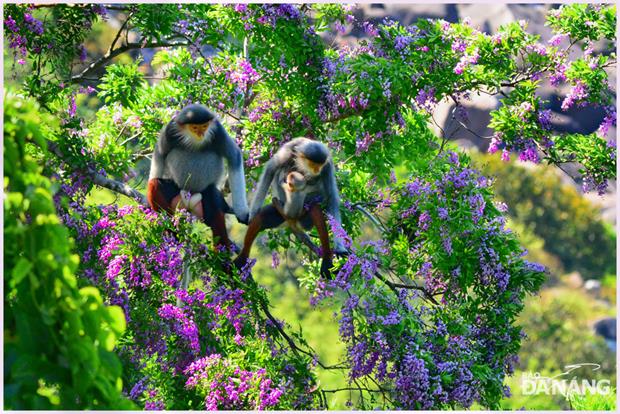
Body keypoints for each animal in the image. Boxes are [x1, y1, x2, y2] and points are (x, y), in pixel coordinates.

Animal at [147, 105, 249, 251]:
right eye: (195, 128)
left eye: (205, 126)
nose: (201, 135)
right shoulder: (169, 131)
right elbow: (159, 155)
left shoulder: (218, 132)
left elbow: (234, 157)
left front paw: (242, 212)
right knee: (154, 184)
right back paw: (172, 231)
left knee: (213, 200)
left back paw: (222, 254)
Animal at [234, 137, 348, 276]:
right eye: (313, 165)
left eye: (319, 166)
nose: (317, 170)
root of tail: (292, 220)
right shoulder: (287, 152)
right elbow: (270, 171)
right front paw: (252, 213)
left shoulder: (327, 165)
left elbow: (332, 197)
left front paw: (340, 247)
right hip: (280, 212)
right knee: (261, 217)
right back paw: (241, 259)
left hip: (304, 219)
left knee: (315, 209)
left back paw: (327, 262)